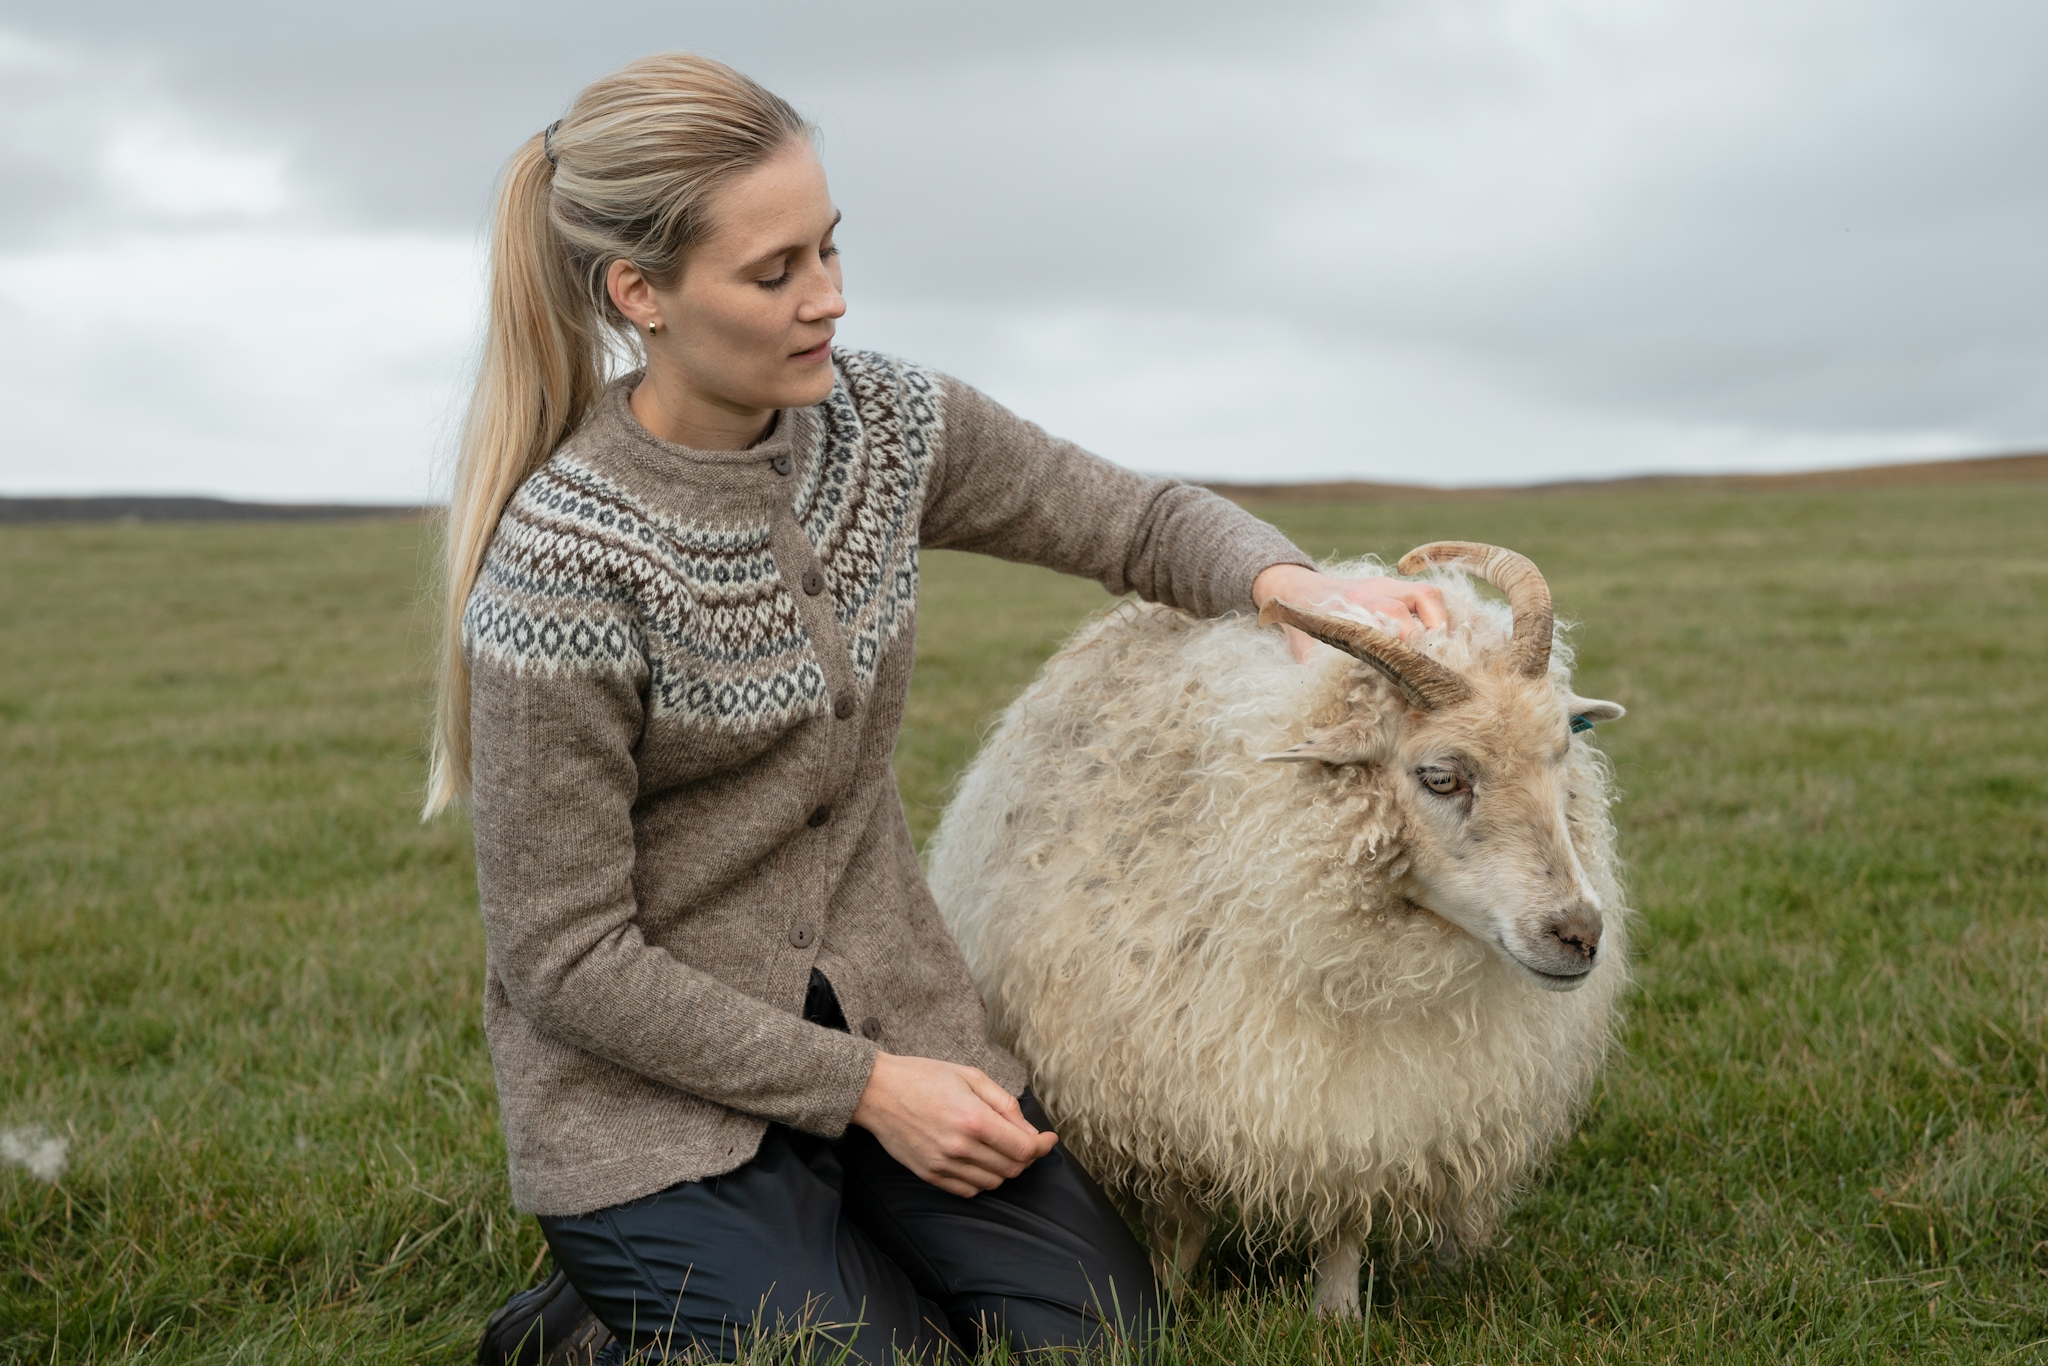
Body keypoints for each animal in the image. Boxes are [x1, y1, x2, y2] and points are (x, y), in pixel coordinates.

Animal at [926, 541, 1630, 1317]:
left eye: (1561, 755)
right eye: (1441, 777)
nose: (1579, 935)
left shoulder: (1372, 1098)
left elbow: (1349, 1208)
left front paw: (1337, 1315)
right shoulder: (1165, 1081)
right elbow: (1181, 1218)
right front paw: (1167, 1302)